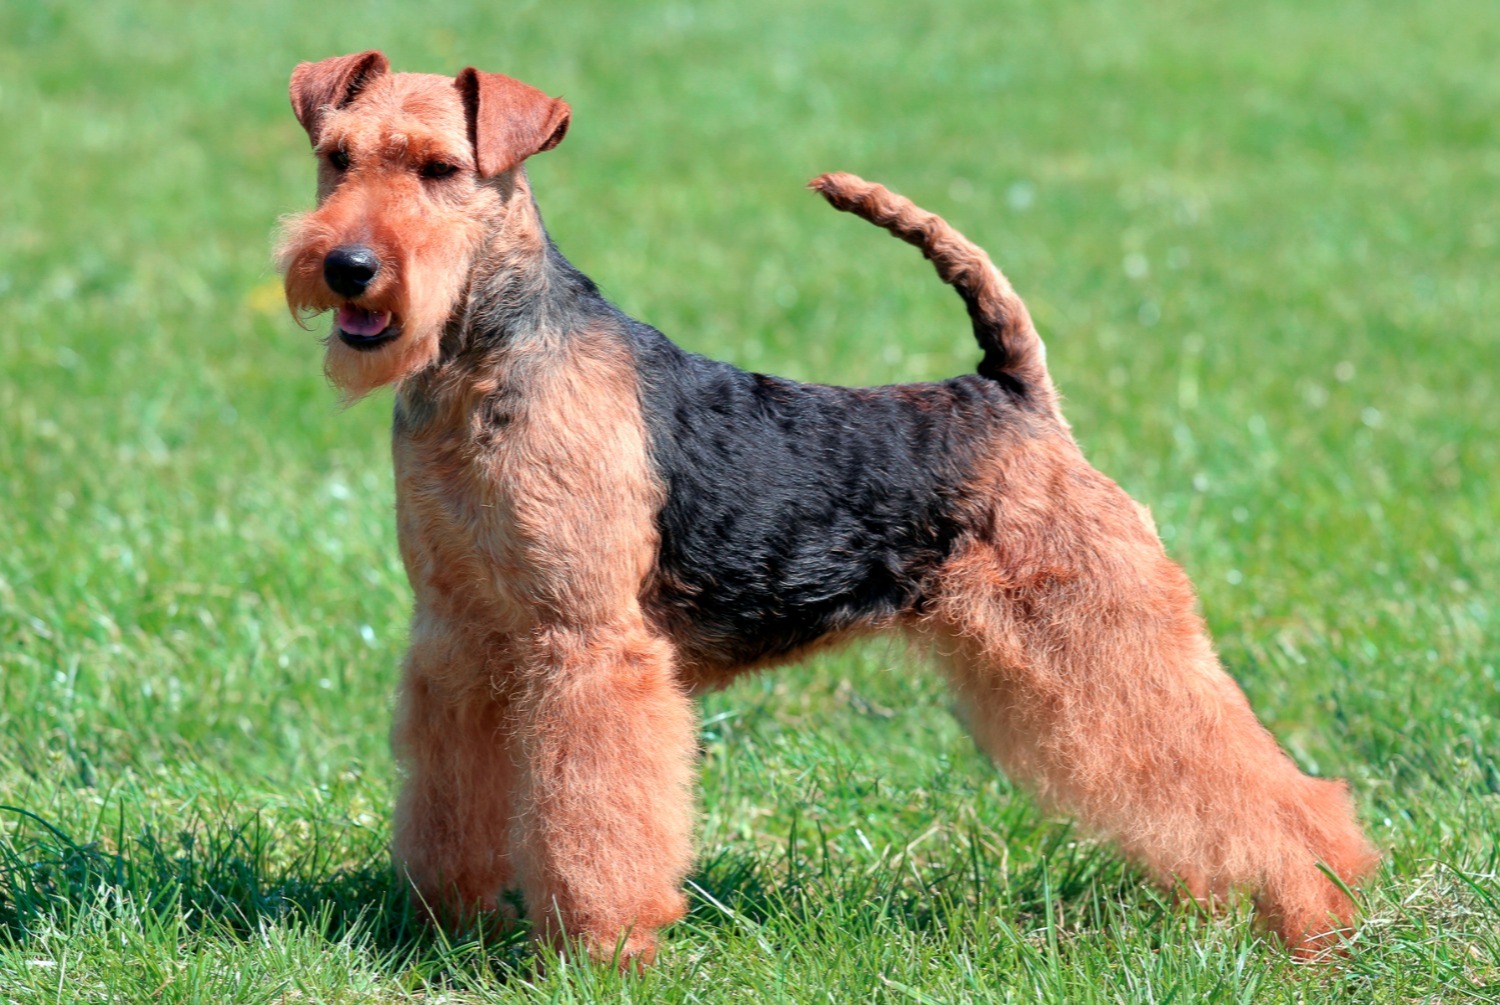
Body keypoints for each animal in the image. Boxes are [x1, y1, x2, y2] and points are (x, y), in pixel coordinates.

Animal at [276, 51, 1374, 966]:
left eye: (440, 168)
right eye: (336, 158)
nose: (347, 269)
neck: (480, 366)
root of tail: (1011, 391)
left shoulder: (589, 647)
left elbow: (594, 819)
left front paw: (600, 949)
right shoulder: (458, 639)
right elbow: (448, 801)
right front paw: (442, 925)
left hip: (1104, 629)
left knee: (1265, 784)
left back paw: (1317, 911)